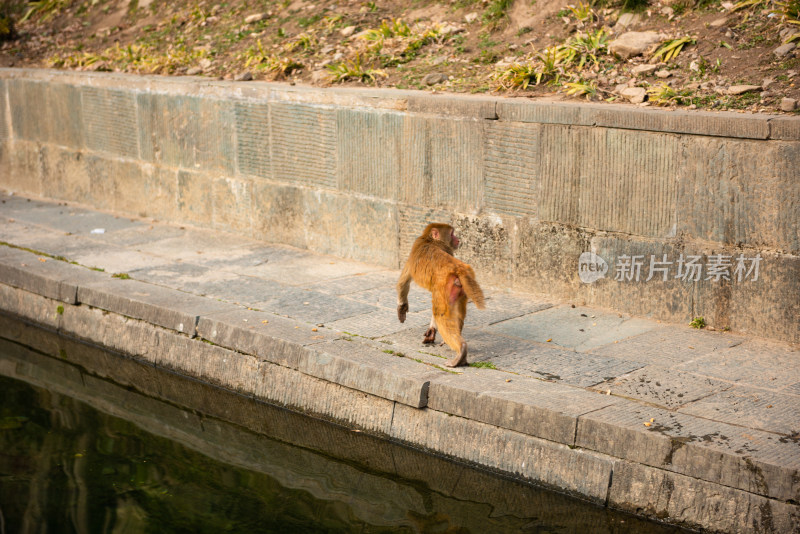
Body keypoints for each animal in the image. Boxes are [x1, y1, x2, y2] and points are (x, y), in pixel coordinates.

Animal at [396, 223, 484, 368]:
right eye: (452, 233)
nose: (458, 239)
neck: (430, 240)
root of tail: (459, 268)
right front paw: (432, 330)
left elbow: (403, 282)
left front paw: (401, 308)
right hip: (460, 291)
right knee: (456, 313)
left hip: (445, 290)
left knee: (441, 314)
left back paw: (461, 349)